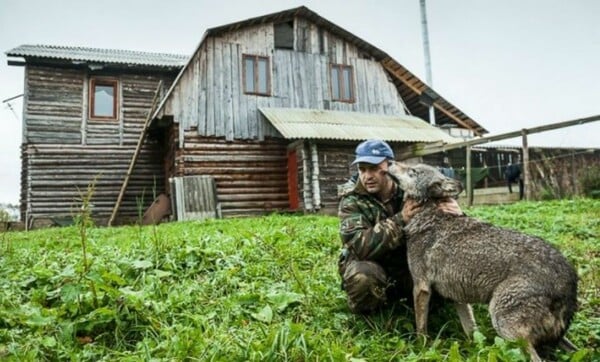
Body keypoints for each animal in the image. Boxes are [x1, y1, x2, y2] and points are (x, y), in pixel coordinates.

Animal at [392, 164, 580, 362]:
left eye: (412, 171)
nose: (390, 163)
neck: (427, 214)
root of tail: (570, 278)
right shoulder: (457, 297)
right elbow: (472, 332)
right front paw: (475, 351)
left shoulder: (421, 287)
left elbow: (420, 329)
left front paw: (420, 351)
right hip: (552, 337)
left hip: (503, 323)